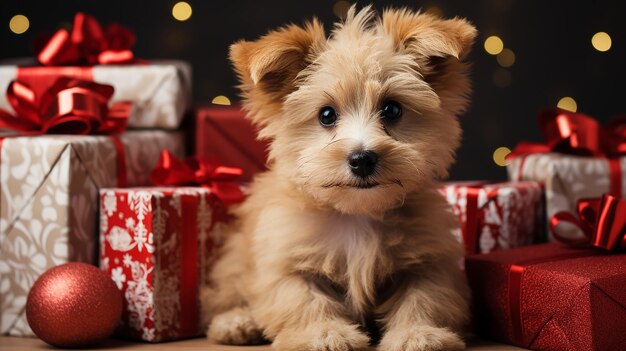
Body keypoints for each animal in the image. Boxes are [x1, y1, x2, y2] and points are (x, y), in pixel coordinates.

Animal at [202, 5, 476, 351]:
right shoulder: (286, 257)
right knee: (226, 294)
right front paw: (323, 334)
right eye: (326, 115)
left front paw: (419, 334)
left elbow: (424, 297)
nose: (362, 159)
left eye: (392, 109)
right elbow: (303, 299)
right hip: (235, 260)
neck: (357, 211)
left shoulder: (428, 258)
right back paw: (236, 321)